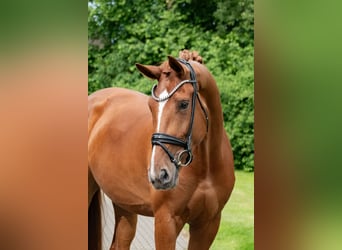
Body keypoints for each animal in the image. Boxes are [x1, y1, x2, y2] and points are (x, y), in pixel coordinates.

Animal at [88, 51, 235, 249]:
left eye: (183, 104)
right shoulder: (166, 221)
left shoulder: (208, 224)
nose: (159, 174)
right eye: (151, 106)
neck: (206, 168)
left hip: (124, 206)